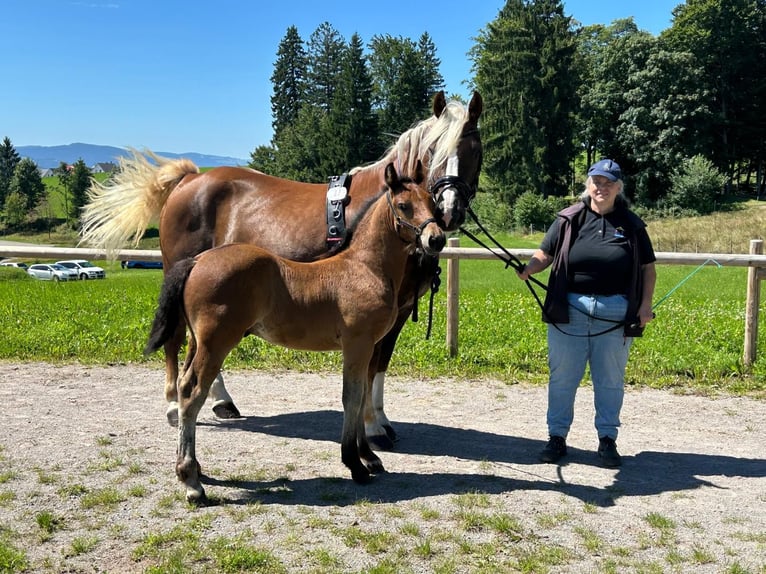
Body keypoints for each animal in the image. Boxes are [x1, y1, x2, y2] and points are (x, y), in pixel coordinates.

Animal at [81, 90, 483, 450]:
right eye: (434, 150)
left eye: (474, 150)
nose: (449, 212)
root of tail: (189, 180)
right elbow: (369, 368)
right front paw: (372, 427)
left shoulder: (397, 312)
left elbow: (379, 366)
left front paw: (380, 420)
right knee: (176, 341)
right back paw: (172, 404)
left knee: (199, 345)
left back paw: (221, 400)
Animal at [144, 162, 445, 503]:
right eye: (404, 205)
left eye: (433, 203)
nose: (436, 239)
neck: (363, 266)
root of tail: (197, 260)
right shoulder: (358, 344)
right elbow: (352, 397)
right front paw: (355, 465)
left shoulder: (370, 346)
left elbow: (363, 396)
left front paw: (368, 457)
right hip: (215, 343)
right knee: (192, 392)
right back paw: (192, 482)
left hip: (199, 342)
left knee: (185, 385)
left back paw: (196, 471)